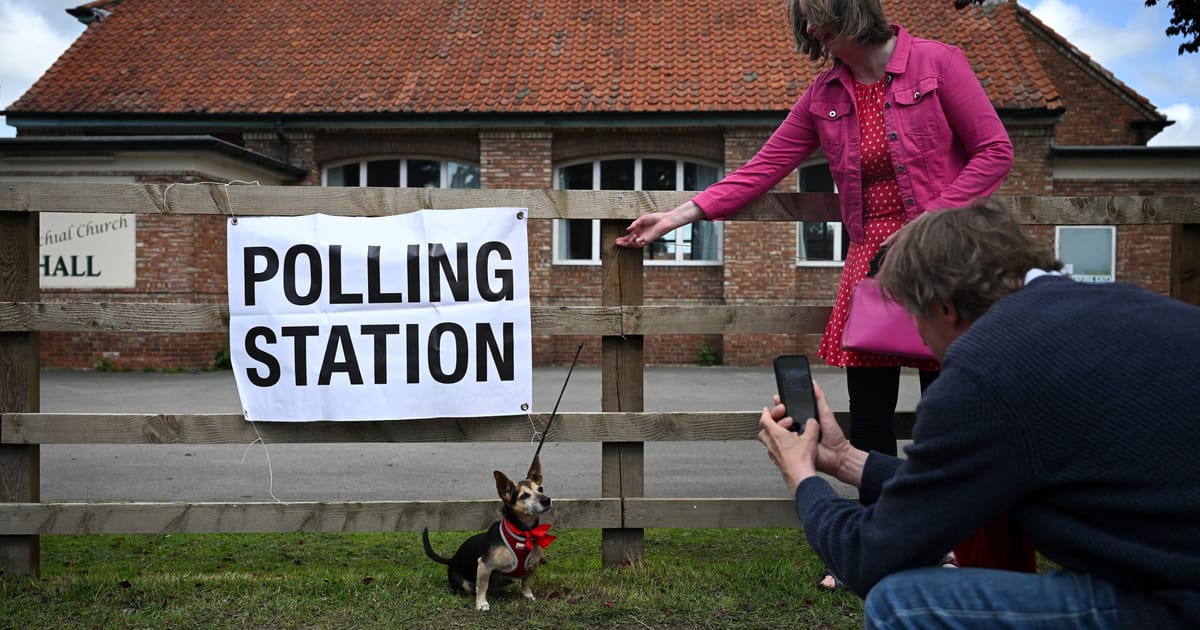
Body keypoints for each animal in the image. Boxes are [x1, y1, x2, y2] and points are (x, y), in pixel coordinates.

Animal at [422, 451, 552, 609]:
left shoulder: (533, 566)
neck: (523, 531)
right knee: (468, 588)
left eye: (541, 489)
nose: (546, 500)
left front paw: (527, 595)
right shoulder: (485, 566)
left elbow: (526, 582)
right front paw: (481, 603)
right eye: (524, 496)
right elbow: (482, 586)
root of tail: (451, 560)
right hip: (463, 582)